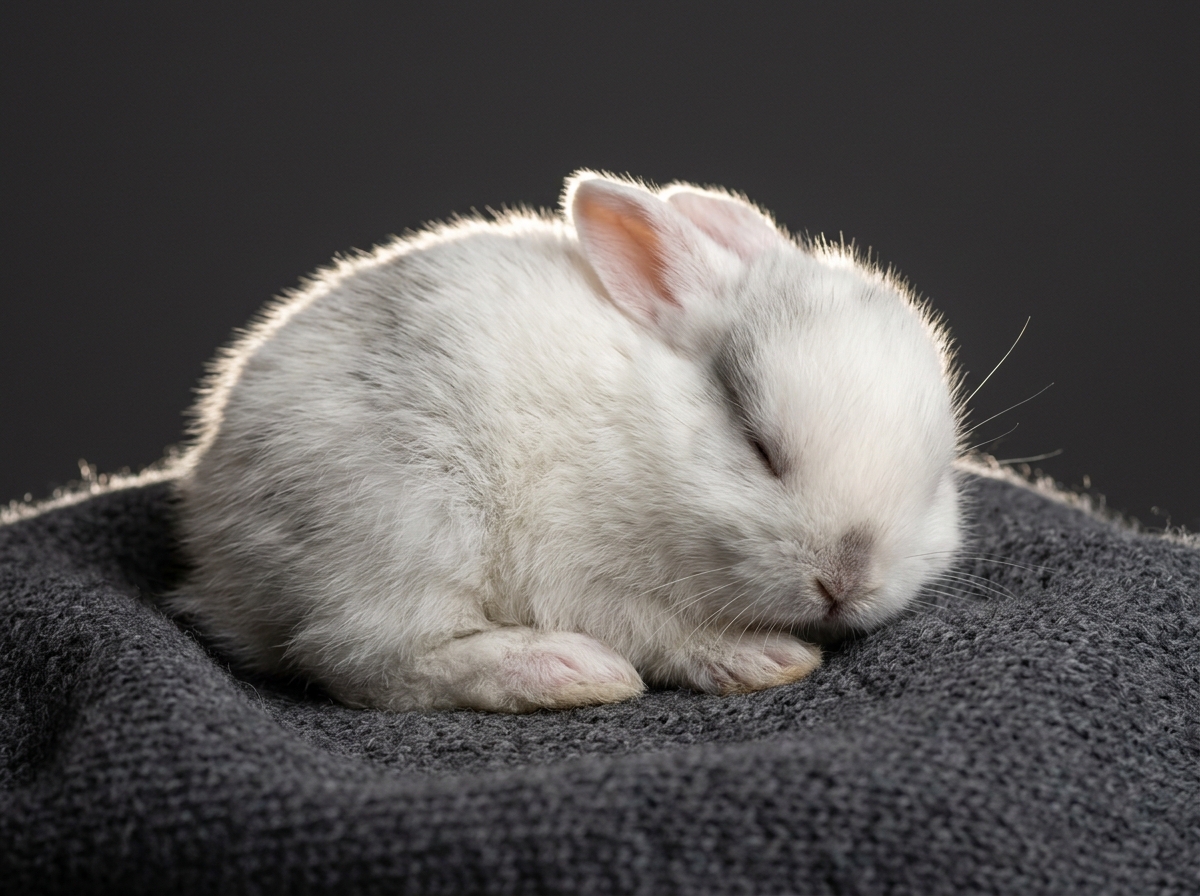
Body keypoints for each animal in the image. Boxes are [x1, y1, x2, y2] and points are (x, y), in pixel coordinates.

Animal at [168, 171, 964, 713]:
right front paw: (757, 658)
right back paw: (565, 671)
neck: (646, 433)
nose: (845, 583)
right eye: (756, 443)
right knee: (366, 660)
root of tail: (216, 560)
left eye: (936, 481)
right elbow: (653, 626)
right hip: (404, 525)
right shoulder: (574, 575)